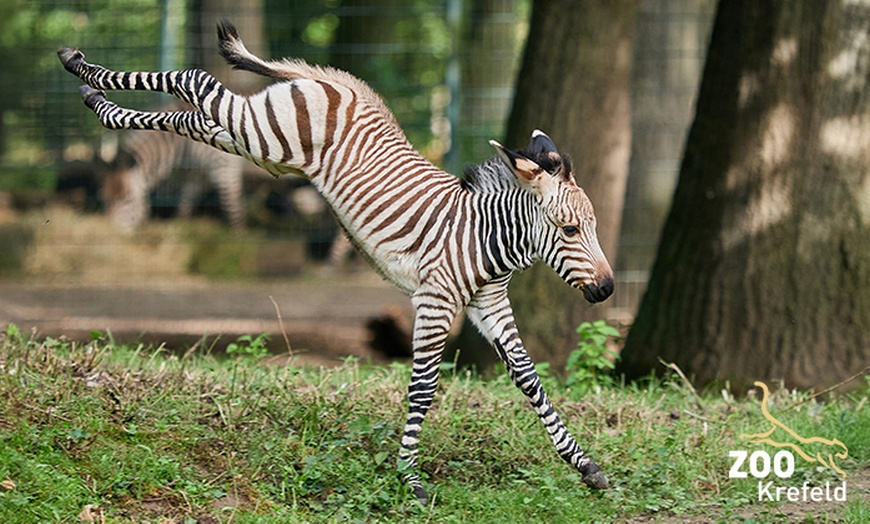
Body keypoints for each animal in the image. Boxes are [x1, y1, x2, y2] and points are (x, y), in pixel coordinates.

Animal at [58, 21, 616, 504]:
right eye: (571, 231)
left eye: (590, 228)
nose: (608, 290)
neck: (486, 238)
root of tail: (332, 83)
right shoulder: (435, 302)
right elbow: (423, 388)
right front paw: (410, 478)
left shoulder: (489, 304)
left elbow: (529, 378)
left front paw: (585, 466)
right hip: (263, 132)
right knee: (194, 81)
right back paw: (78, 65)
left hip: (249, 140)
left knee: (187, 116)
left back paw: (96, 99)